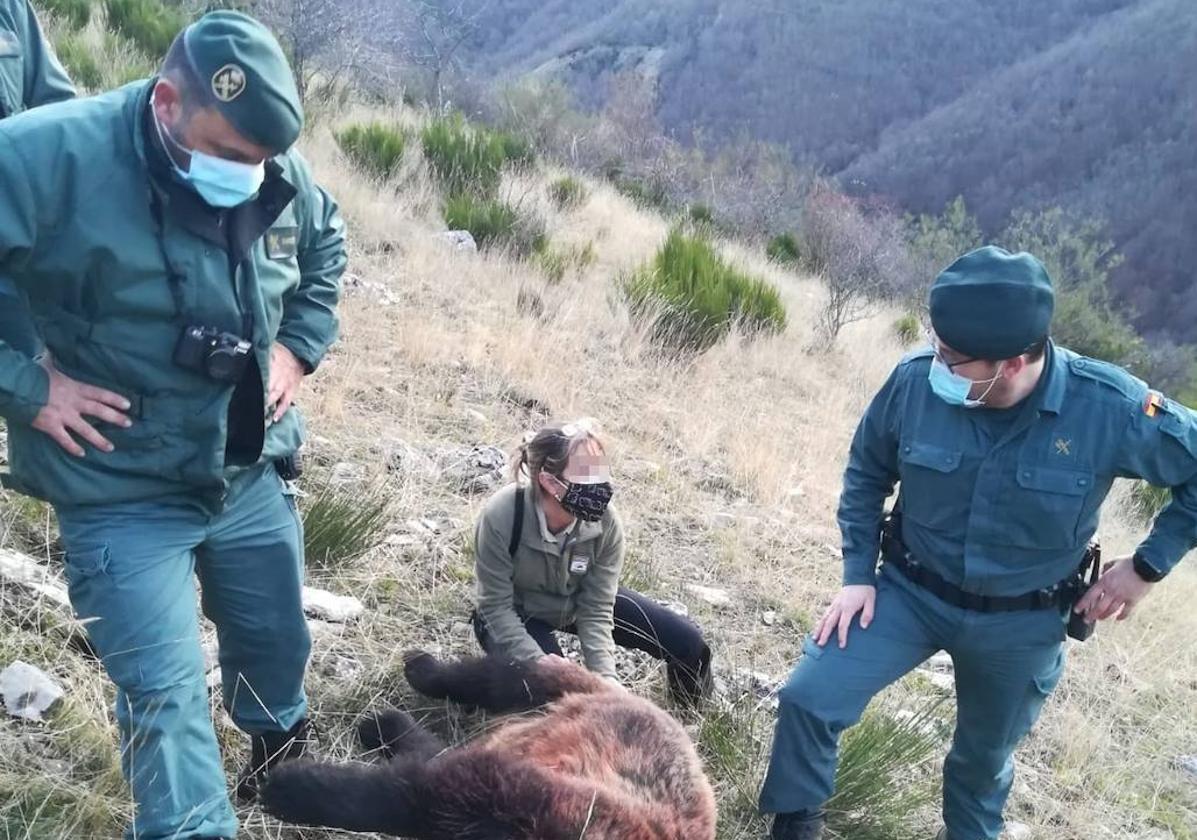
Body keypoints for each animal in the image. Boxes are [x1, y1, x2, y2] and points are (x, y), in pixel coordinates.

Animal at [260, 650, 708, 840]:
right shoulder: (537, 798)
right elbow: (410, 794)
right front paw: (292, 785)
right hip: (556, 688)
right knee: (496, 678)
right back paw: (420, 671)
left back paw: (385, 725)